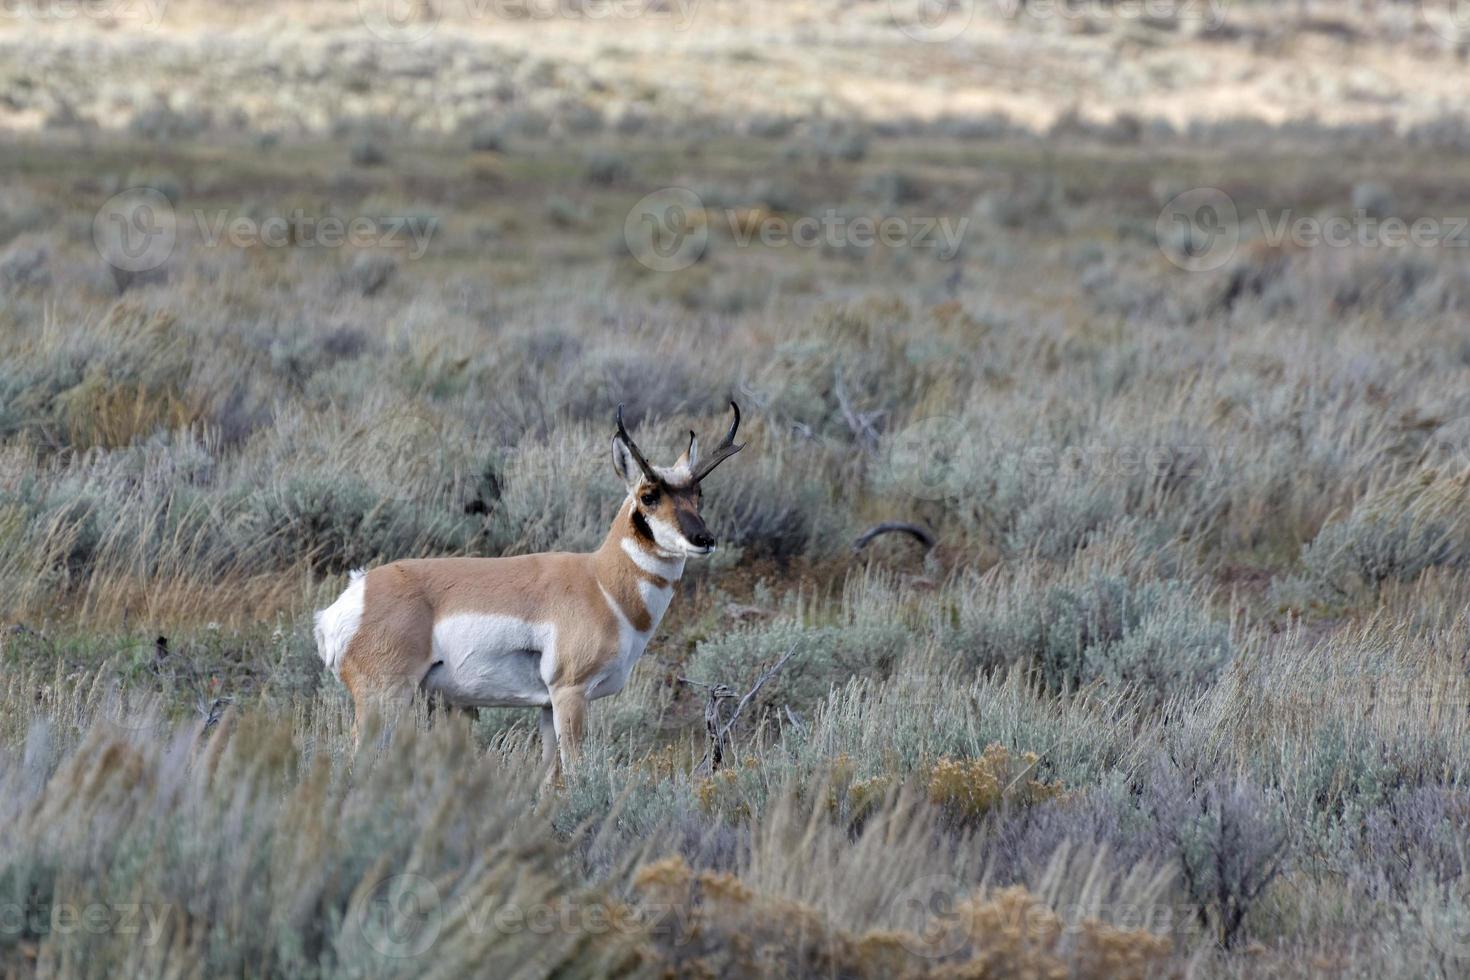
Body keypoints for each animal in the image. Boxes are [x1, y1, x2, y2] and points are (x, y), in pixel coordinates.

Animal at [314, 405, 740, 764]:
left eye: (697, 493)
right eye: (649, 495)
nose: (704, 540)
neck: (601, 583)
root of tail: (355, 594)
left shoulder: (546, 707)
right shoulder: (570, 695)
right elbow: (575, 770)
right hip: (384, 699)